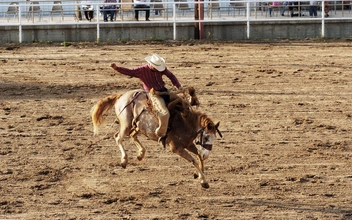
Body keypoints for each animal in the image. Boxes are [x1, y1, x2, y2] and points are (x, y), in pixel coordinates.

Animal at [92, 88, 221, 188]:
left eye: (214, 138)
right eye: (206, 136)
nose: (206, 155)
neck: (185, 122)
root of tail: (121, 96)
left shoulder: (189, 144)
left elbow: (198, 155)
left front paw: (198, 175)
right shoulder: (176, 148)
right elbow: (193, 160)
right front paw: (203, 180)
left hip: (137, 127)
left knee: (131, 135)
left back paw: (140, 154)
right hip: (126, 125)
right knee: (118, 137)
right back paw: (124, 160)